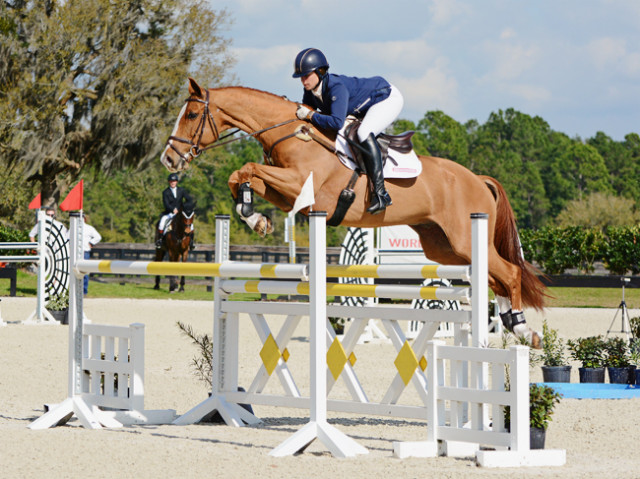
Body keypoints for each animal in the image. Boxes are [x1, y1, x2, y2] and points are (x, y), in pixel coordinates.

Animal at [160, 79, 544, 348]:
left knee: (509, 272)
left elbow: (247, 169)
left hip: (464, 236)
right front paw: (255, 217)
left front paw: (255, 217)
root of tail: (477, 179)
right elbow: (240, 175)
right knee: (493, 277)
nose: (169, 158)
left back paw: (523, 329)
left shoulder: (300, 185)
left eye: (191, 115)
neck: (290, 132)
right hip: (444, 247)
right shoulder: (286, 193)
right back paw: (512, 322)